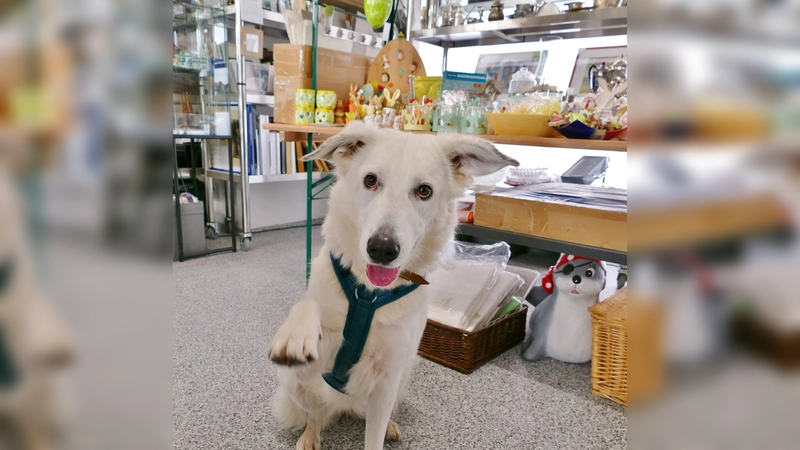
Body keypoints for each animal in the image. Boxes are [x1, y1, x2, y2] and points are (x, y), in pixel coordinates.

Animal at [268, 122, 520, 450]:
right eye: (370, 180)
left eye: (424, 191)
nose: (382, 249)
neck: (369, 295)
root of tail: (345, 406)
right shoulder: (316, 363)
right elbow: (308, 303)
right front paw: (296, 334)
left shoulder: (388, 378)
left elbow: (373, 439)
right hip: (294, 385)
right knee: (315, 415)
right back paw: (311, 435)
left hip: (401, 383)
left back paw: (387, 426)